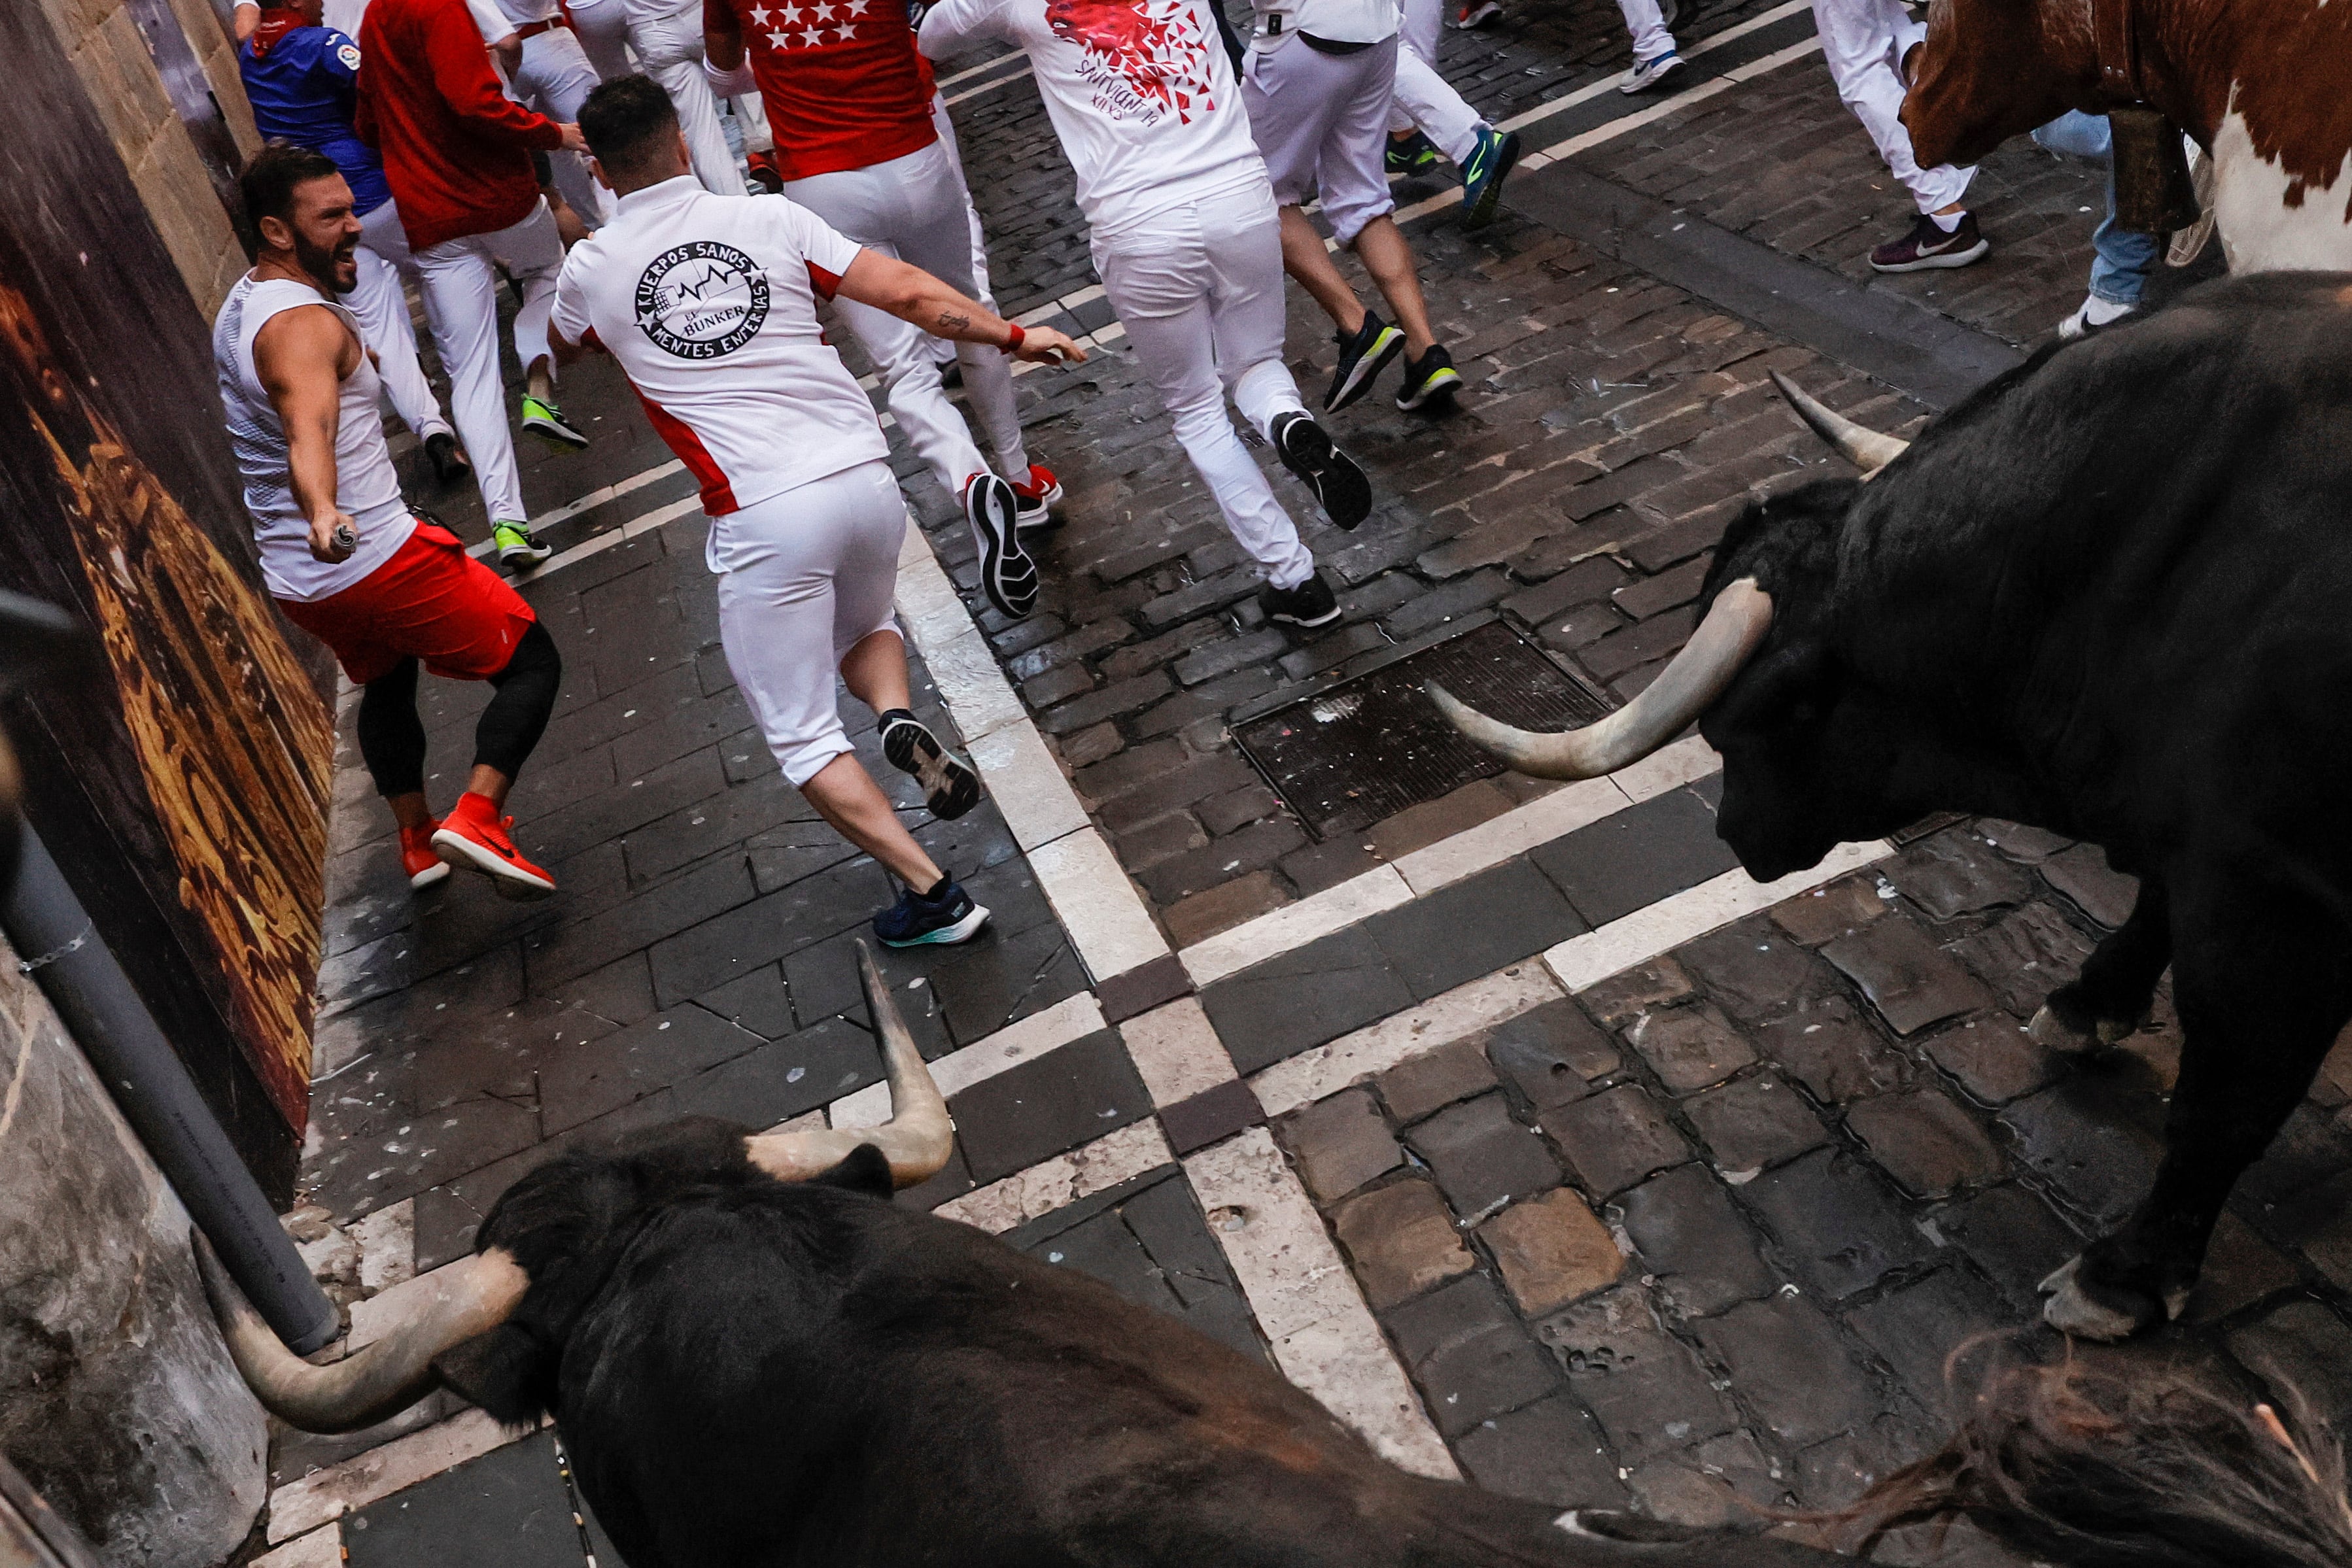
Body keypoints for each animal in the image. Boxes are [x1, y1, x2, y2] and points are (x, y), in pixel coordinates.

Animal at [1439, 273, 2342, 1354]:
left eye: (1751, 721)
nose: (1731, 834)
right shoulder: (2206, 847)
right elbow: (2154, 917)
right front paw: (2090, 1000)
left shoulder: (2263, 898)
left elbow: (2226, 1098)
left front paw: (2125, 1275)